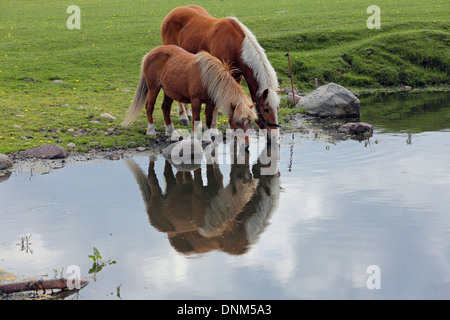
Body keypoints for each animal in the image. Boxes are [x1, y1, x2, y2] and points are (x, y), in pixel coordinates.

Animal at [121, 44, 256, 142]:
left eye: (249, 122)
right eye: (237, 122)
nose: (246, 145)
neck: (208, 78)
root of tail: (150, 53)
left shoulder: (210, 102)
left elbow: (208, 119)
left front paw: (206, 138)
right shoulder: (195, 100)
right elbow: (196, 119)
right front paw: (194, 137)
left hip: (168, 91)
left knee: (165, 108)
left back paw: (171, 132)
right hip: (154, 88)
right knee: (149, 107)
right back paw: (151, 131)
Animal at [162, 4, 282, 138]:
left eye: (277, 108)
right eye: (266, 109)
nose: (274, 136)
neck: (234, 45)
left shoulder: (236, 76)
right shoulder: (216, 76)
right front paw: (213, 130)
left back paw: (188, 113)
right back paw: (183, 116)